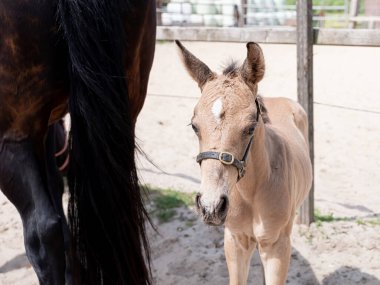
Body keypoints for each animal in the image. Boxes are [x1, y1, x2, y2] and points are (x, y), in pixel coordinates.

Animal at [177, 40, 314, 284]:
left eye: (250, 127)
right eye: (194, 126)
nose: (211, 207)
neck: (252, 192)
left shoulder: (277, 246)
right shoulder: (235, 241)